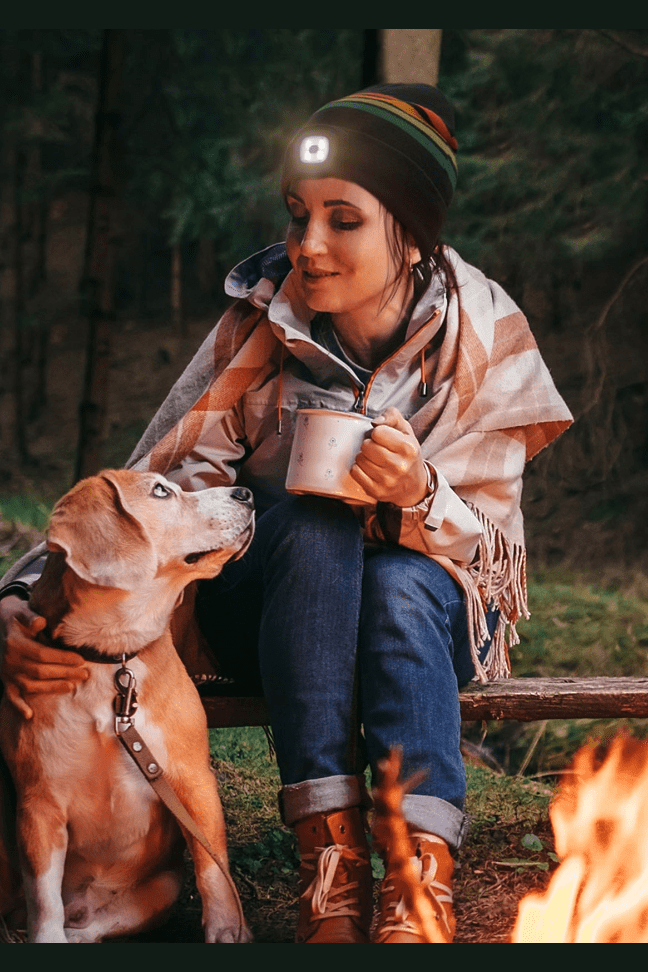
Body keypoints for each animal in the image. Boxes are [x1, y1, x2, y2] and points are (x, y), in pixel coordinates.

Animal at [0, 470, 254, 940]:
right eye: (161, 491)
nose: (245, 493)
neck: (110, 656)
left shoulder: (194, 783)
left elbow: (213, 872)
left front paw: (228, 930)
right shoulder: (39, 807)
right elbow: (44, 904)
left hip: (160, 890)